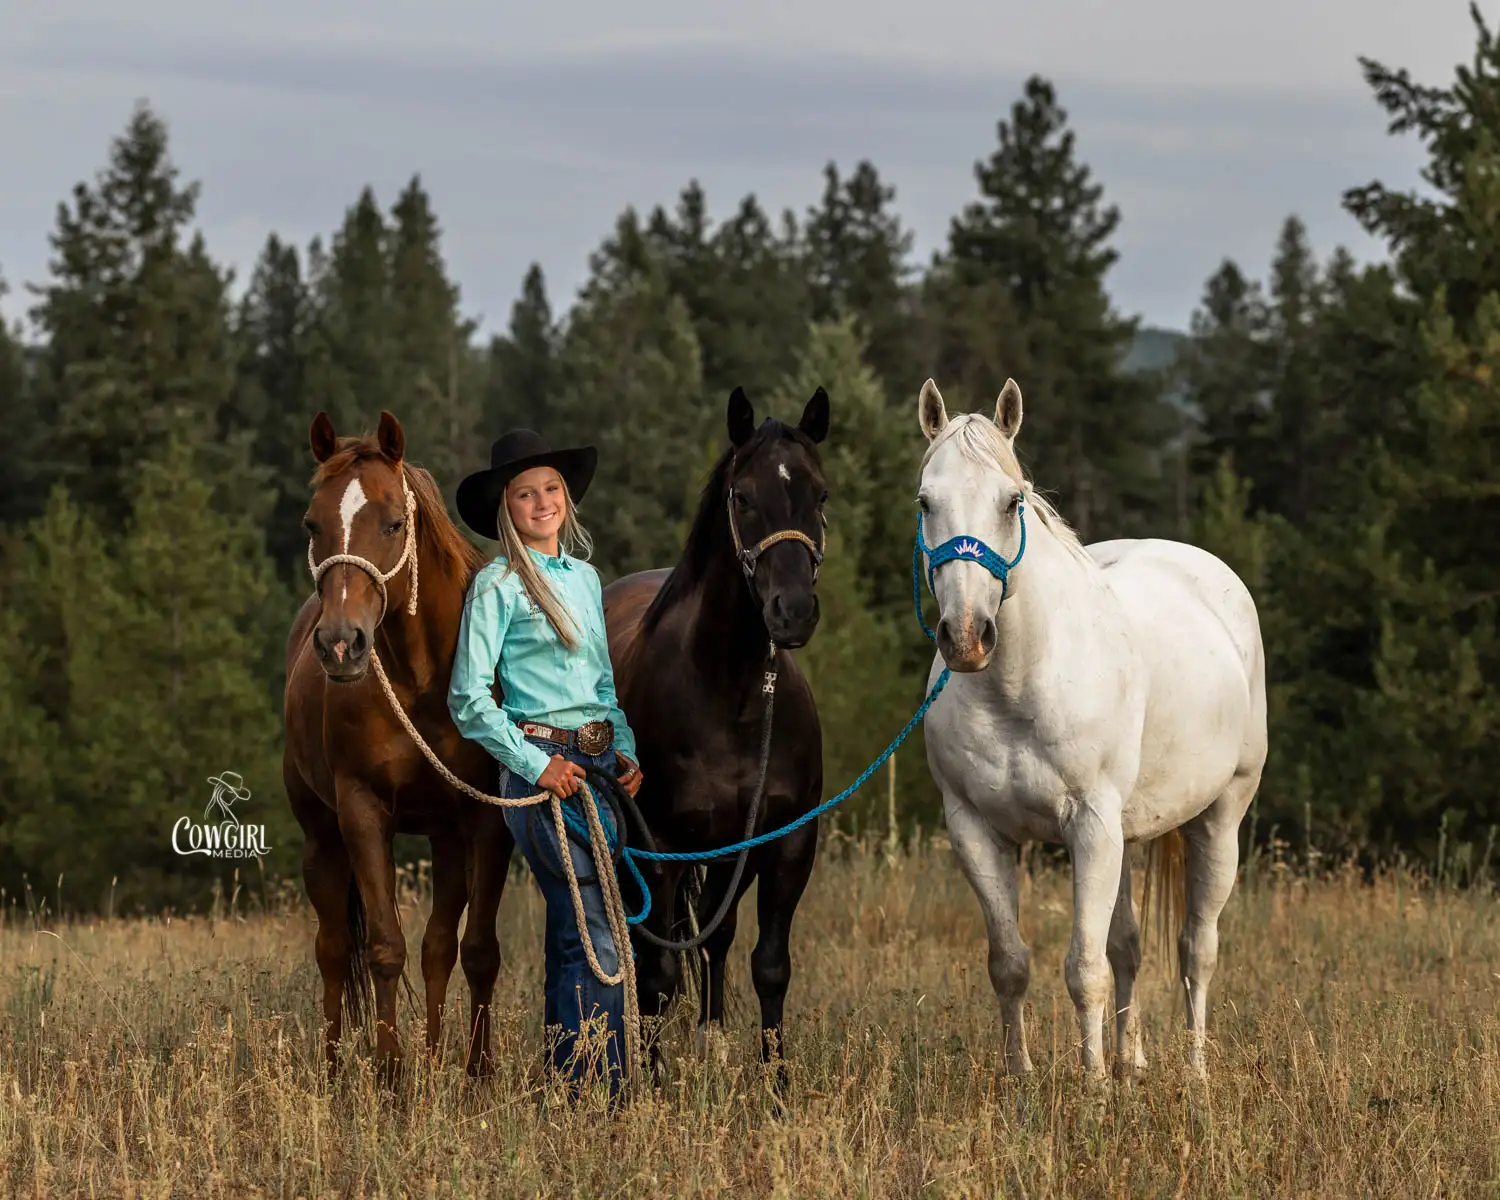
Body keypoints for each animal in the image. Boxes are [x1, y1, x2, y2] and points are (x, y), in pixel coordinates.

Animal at [283, 410, 515, 1079]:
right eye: (311, 523)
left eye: (392, 522)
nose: (339, 644)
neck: (422, 679)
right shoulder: (362, 813)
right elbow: (385, 947)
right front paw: (390, 1075)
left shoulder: (484, 820)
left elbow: (475, 949)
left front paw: (475, 1073)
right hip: (321, 839)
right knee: (335, 951)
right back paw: (335, 1069)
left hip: (445, 836)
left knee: (439, 947)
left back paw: (437, 1059)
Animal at [602, 386, 830, 1072]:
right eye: (743, 497)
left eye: (820, 495)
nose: (793, 612)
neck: (732, 700)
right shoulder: (659, 848)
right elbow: (656, 974)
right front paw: (651, 1084)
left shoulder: (786, 843)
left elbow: (770, 964)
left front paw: (776, 1083)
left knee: (715, 933)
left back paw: (713, 1036)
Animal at [914, 377, 1267, 1080]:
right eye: (925, 501)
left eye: (1012, 501)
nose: (966, 637)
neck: (1018, 686)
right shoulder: (973, 829)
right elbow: (1011, 963)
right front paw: (1023, 1079)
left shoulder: (1090, 825)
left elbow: (1084, 968)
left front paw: (1093, 1086)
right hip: (1127, 835)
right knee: (1130, 945)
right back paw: (1133, 1062)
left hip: (1219, 816)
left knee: (1196, 948)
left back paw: (1194, 1072)